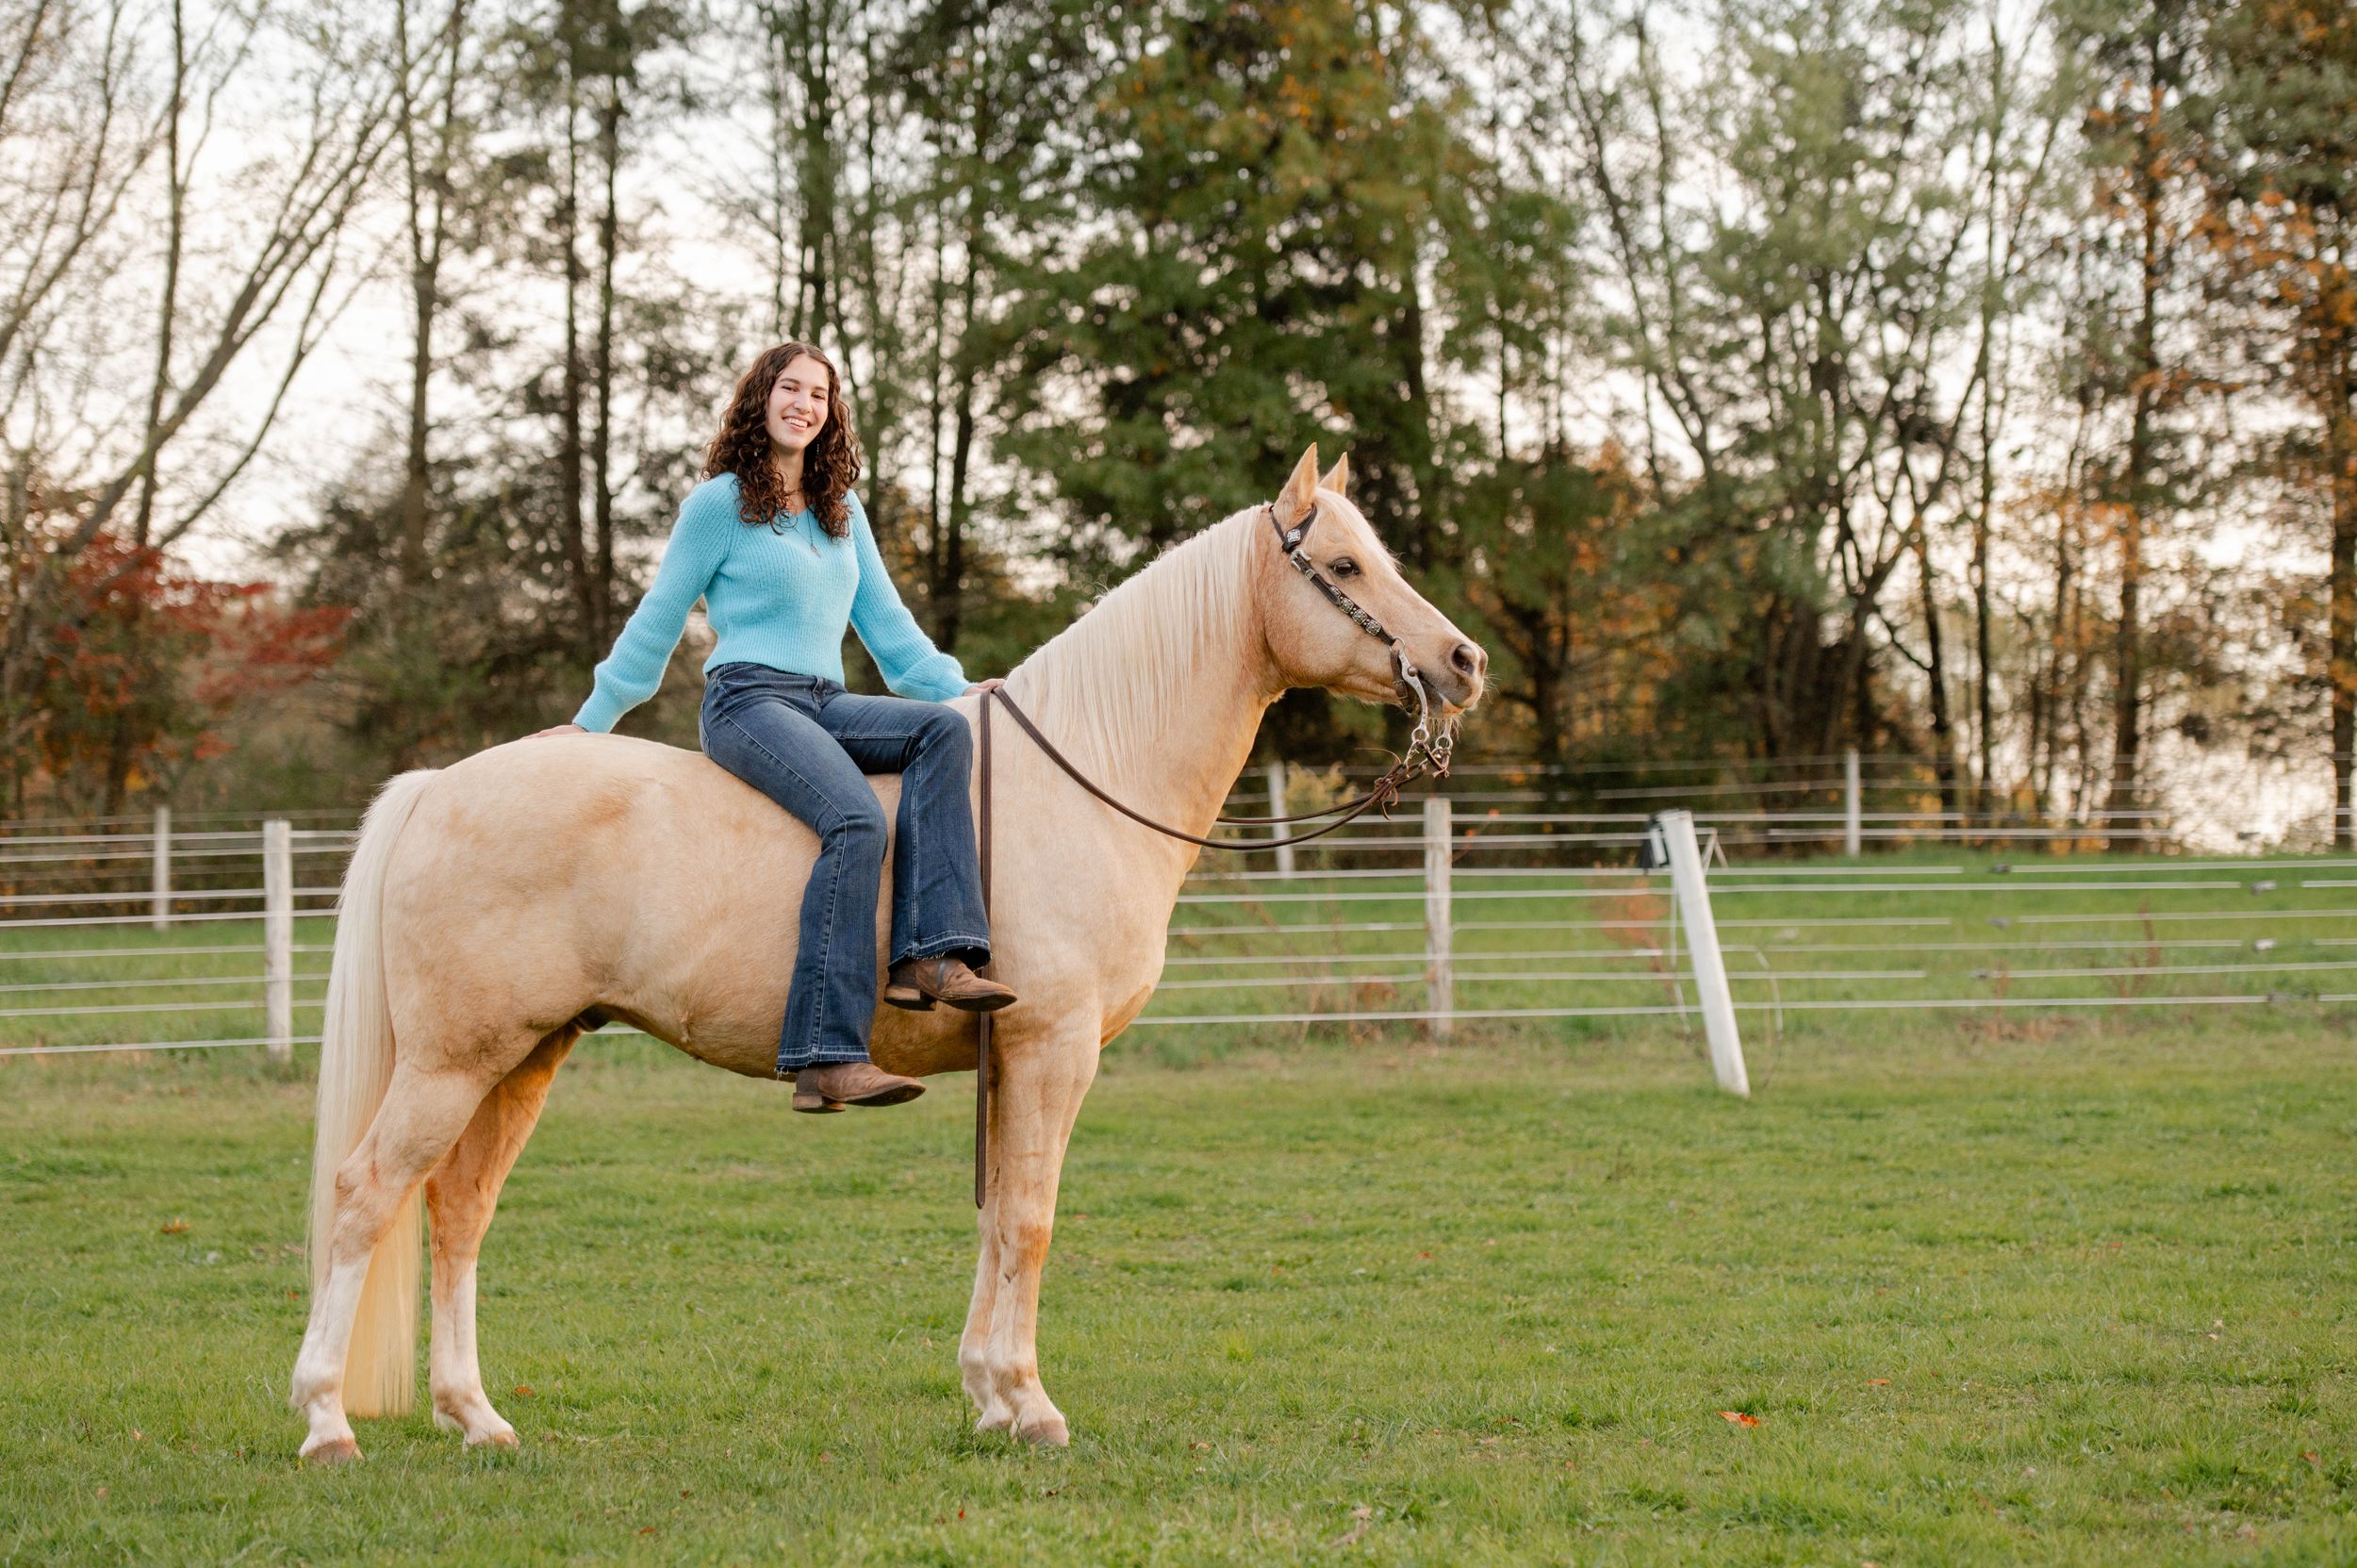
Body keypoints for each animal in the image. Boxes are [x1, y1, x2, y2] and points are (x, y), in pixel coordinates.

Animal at [289, 446, 1487, 1461]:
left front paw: (990, 1394)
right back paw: (327, 1421)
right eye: (1343, 564)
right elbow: (1032, 1219)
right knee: (363, 1194)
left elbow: (999, 1217)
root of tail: (439, 786)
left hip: (525, 1056)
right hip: (453, 1061)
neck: (1085, 776)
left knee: (455, 1211)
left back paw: (476, 1417)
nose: (1461, 662)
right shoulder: (1054, 1050)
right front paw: (1030, 1405)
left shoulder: (1012, 1061)